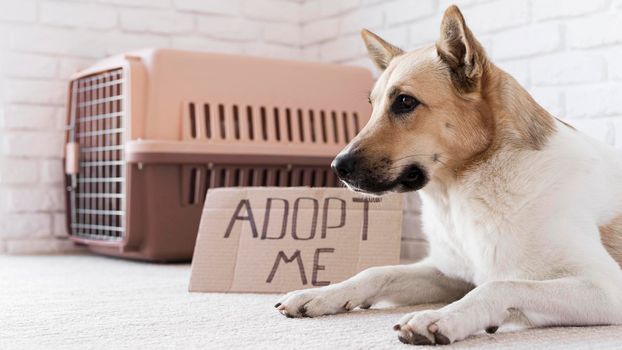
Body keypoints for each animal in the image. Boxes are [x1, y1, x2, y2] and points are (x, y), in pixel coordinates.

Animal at [276, 5, 622, 348]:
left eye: (405, 101)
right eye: (372, 105)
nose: (337, 167)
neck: (460, 193)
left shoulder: (605, 288)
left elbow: (501, 285)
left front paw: (441, 317)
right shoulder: (450, 272)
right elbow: (377, 271)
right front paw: (321, 294)